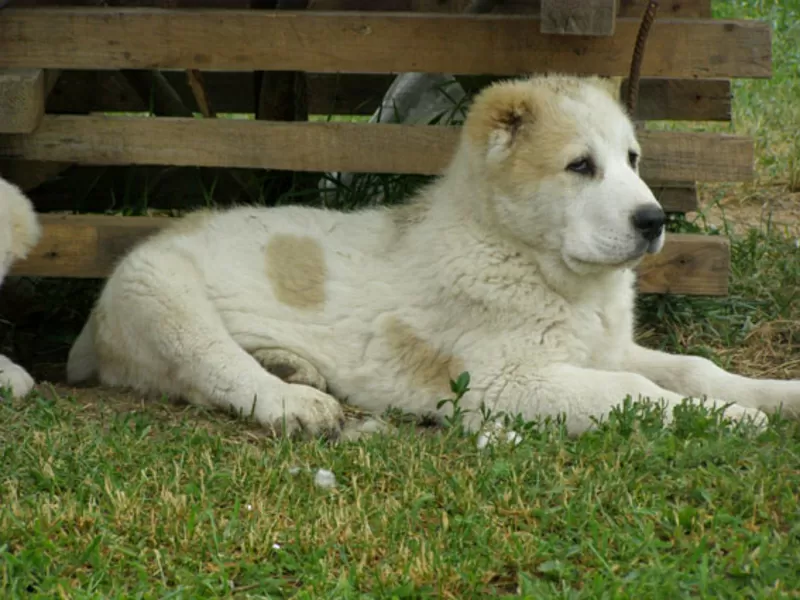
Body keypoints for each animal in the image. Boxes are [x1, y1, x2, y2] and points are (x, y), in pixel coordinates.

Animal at [67, 75, 800, 436]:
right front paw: (735, 420)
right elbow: (637, 392)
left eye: (633, 160)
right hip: (162, 294)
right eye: (580, 167)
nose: (653, 221)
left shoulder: (604, 349)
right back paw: (294, 401)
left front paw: (776, 396)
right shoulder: (507, 382)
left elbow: (694, 368)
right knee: (212, 369)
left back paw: (289, 365)